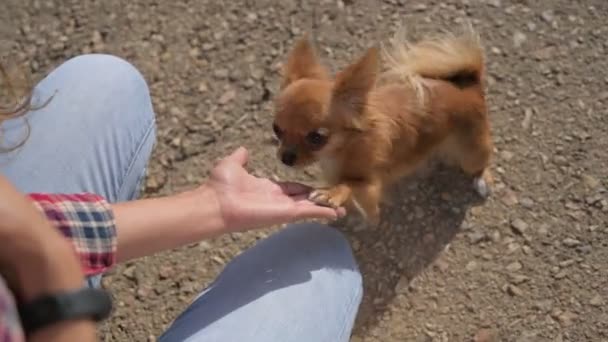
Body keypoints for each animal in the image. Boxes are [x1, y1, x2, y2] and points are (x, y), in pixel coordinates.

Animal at [270, 26, 494, 224]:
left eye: (317, 137)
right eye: (276, 129)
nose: (285, 157)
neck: (347, 146)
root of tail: (471, 84)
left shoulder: (370, 184)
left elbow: (349, 184)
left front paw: (332, 194)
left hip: (471, 154)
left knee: (480, 164)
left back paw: (481, 180)